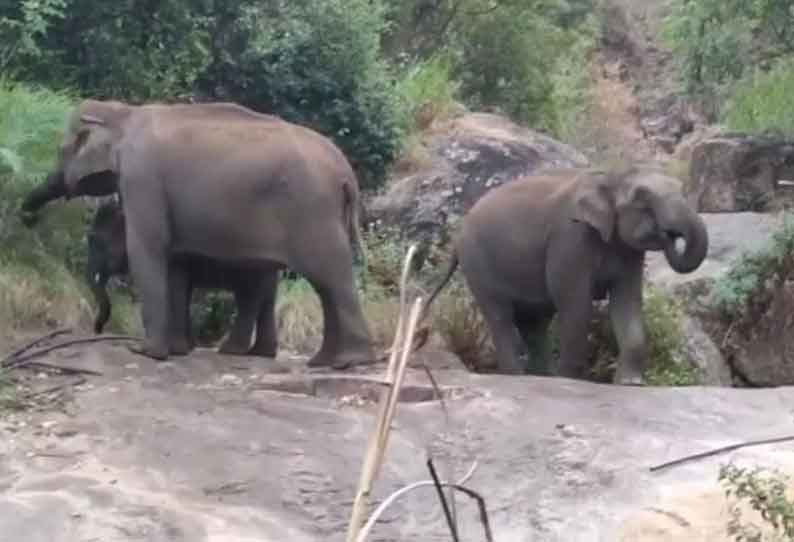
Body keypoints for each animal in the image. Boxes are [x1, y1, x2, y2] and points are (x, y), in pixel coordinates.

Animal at [86, 202, 278, 360]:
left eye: (96, 241)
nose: (98, 331)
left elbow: (177, 285)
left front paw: (177, 350)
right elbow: (184, 290)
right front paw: (188, 347)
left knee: (248, 298)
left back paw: (230, 350)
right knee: (267, 299)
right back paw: (261, 352)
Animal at [418, 166, 708, 386]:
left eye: (682, 189)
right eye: (642, 197)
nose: (670, 234)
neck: (610, 176)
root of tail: (457, 237)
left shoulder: (628, 252)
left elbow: (627, 303)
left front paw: (630, 384)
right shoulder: (569, 239)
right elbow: (575, 304)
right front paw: (571, 380)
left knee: (534, 323)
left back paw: (542, 377)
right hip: (478, 263)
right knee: (501, 316)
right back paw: (519, 377)